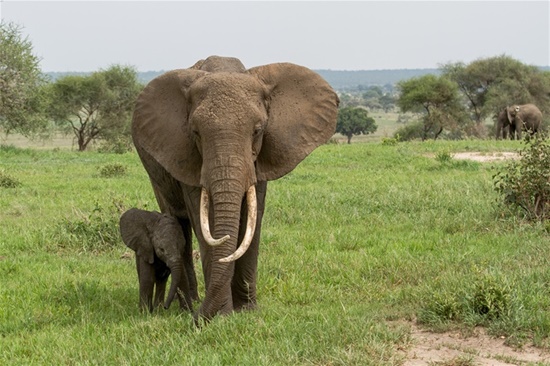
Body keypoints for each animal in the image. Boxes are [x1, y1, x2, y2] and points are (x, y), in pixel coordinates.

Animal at [134, 55, 340, 324]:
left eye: (258, 131)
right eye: (196, 133)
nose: (197, 320)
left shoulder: (259, 160)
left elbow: (253, 219)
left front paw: (247, 310)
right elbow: (203, 220)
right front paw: (221, 315)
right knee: (178, 225)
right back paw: (189, 304)